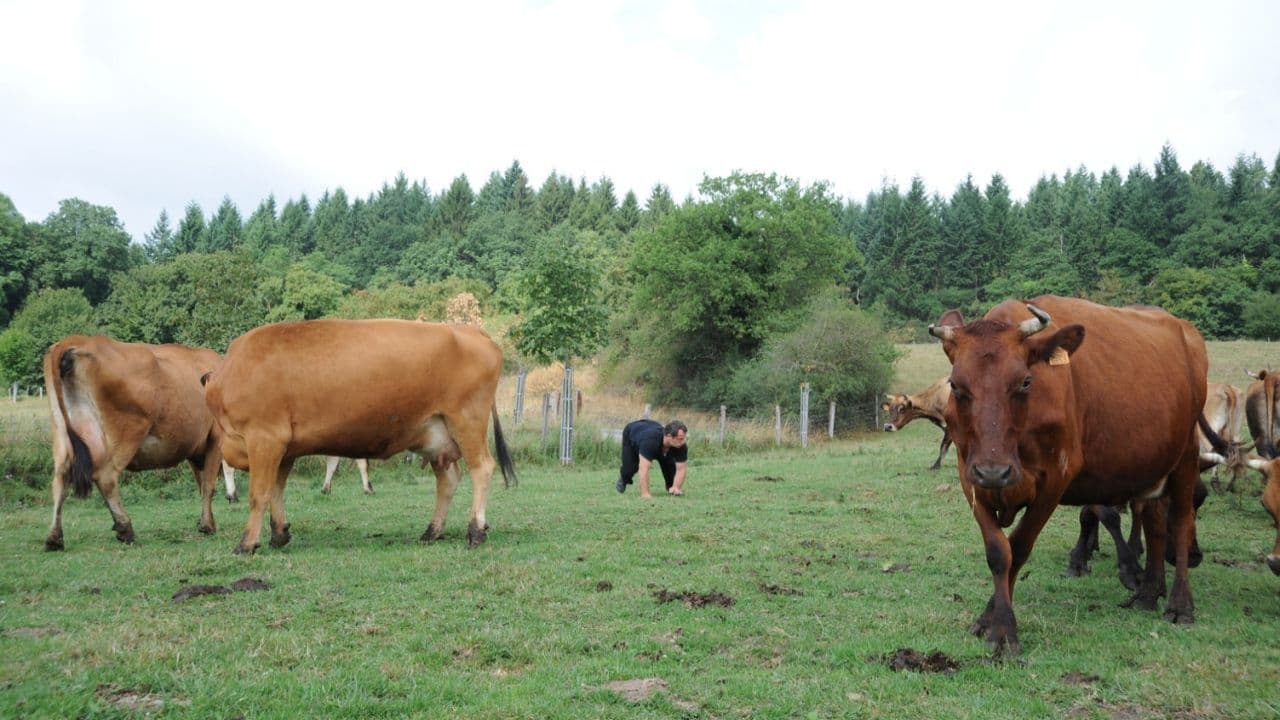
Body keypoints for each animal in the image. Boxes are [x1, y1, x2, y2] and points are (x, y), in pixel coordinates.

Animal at [41, 333, 227, 545]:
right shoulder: (216, 439)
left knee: (60, 478)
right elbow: (209, 485)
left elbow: (201, 483)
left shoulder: (196, 449)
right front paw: (207, 525)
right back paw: (125, 528)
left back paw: (54, 537)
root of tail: (76, 340)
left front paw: (205, 521)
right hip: (127, 433)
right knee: (106, 477)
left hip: (61, 431)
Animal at [204, 316, 514, 550]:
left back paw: (475, 530)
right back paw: (432, 530)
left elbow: (260, 492)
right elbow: (277, 490)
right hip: (435, 435)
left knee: (482, 468)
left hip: (467, 422)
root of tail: (469, 330)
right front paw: (279, 534)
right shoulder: (285, 448)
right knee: (448, 479)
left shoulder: (265, 438)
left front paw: (247, 542)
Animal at [931, 294, 1218, 653]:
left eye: (1025, 382)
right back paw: (1148, 593)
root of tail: (1185, 330)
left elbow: (1019, 547)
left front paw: (1004, 629)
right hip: (1153, 466)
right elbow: (999, 552)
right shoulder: (970, 477)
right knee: (1154, 525)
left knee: (1179, 522)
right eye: (956, 386)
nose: (995, 472)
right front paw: (989, 620)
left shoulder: (1056, 478)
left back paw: (1180, 605)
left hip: (1186, 456)